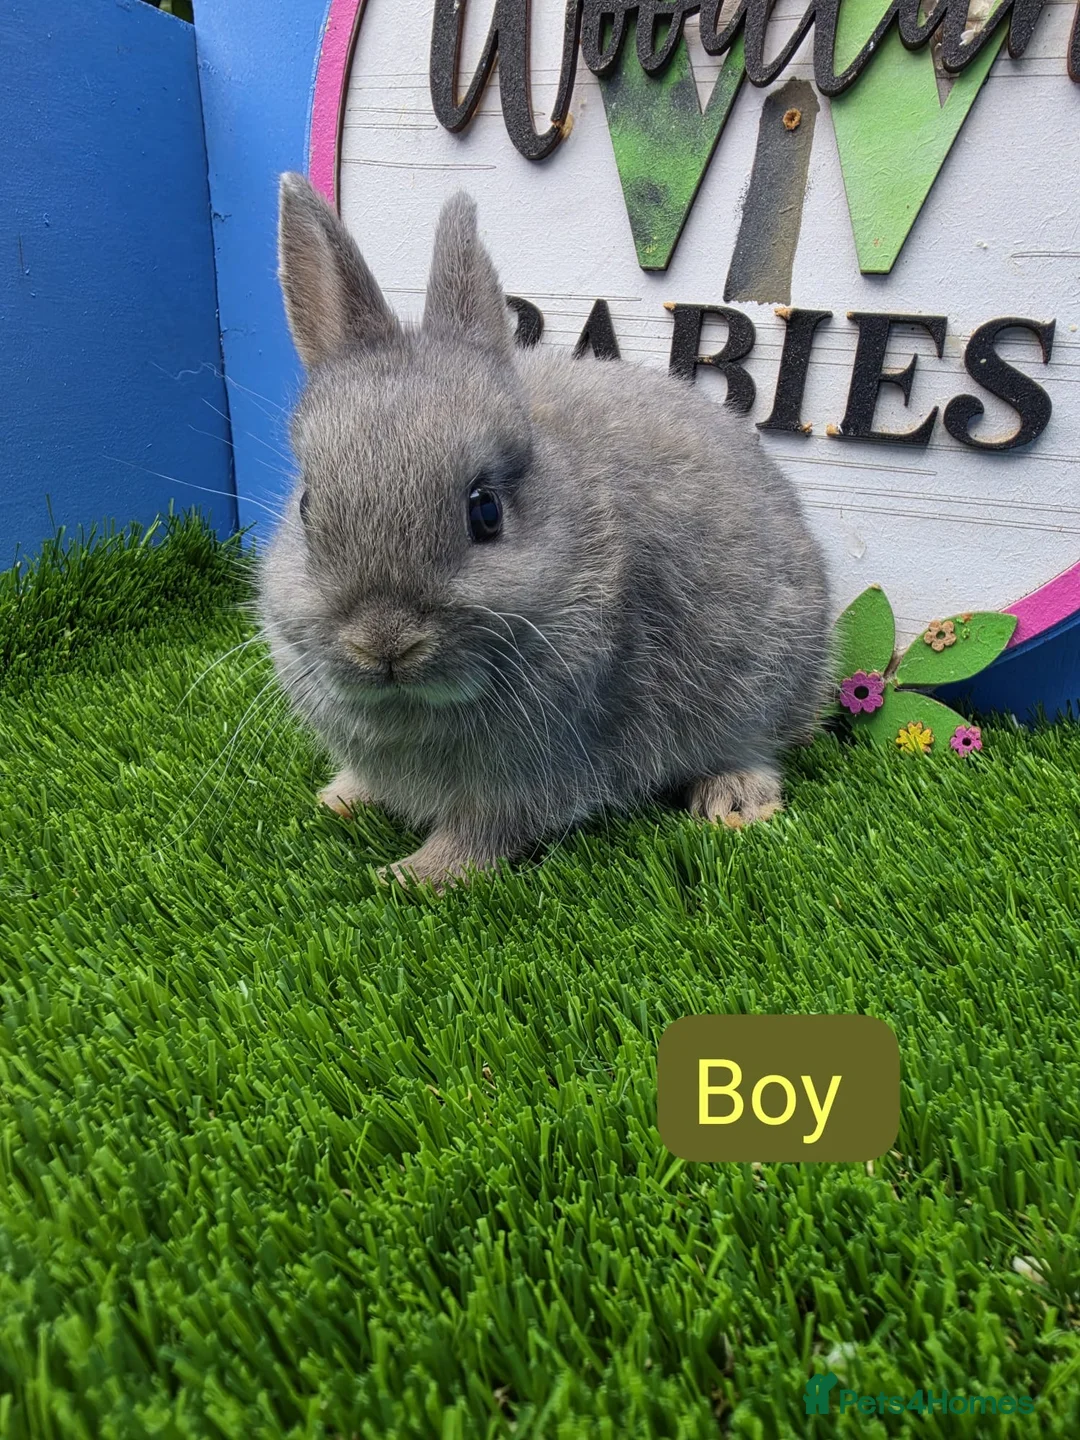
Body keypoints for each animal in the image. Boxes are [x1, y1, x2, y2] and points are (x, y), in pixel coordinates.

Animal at [258, 172, 831, 890]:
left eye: (486, 511)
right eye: (307, 507)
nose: (384, 643)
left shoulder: (534, 771)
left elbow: (484, 833)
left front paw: (410, 877)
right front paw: (340, 797)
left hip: (770, 679)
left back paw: (733, 799)